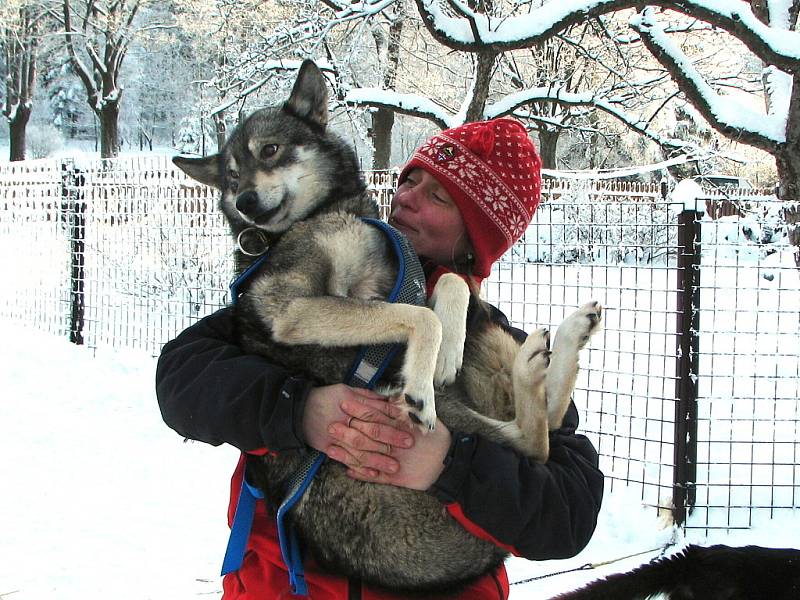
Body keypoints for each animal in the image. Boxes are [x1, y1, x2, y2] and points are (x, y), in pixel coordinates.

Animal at [173, 58, 600, 592]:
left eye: (269, 151)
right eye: (230, 178)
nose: (245, 201)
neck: (329, 213)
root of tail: (480, 557)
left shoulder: (401, 276)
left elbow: (451, 283)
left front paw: (449, 343)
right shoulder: (289, 306)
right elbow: (420, 315)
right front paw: (430, 362)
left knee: (542, 427)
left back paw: (562, 338)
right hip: (427, 410)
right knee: (533, 441)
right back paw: (536, 359)